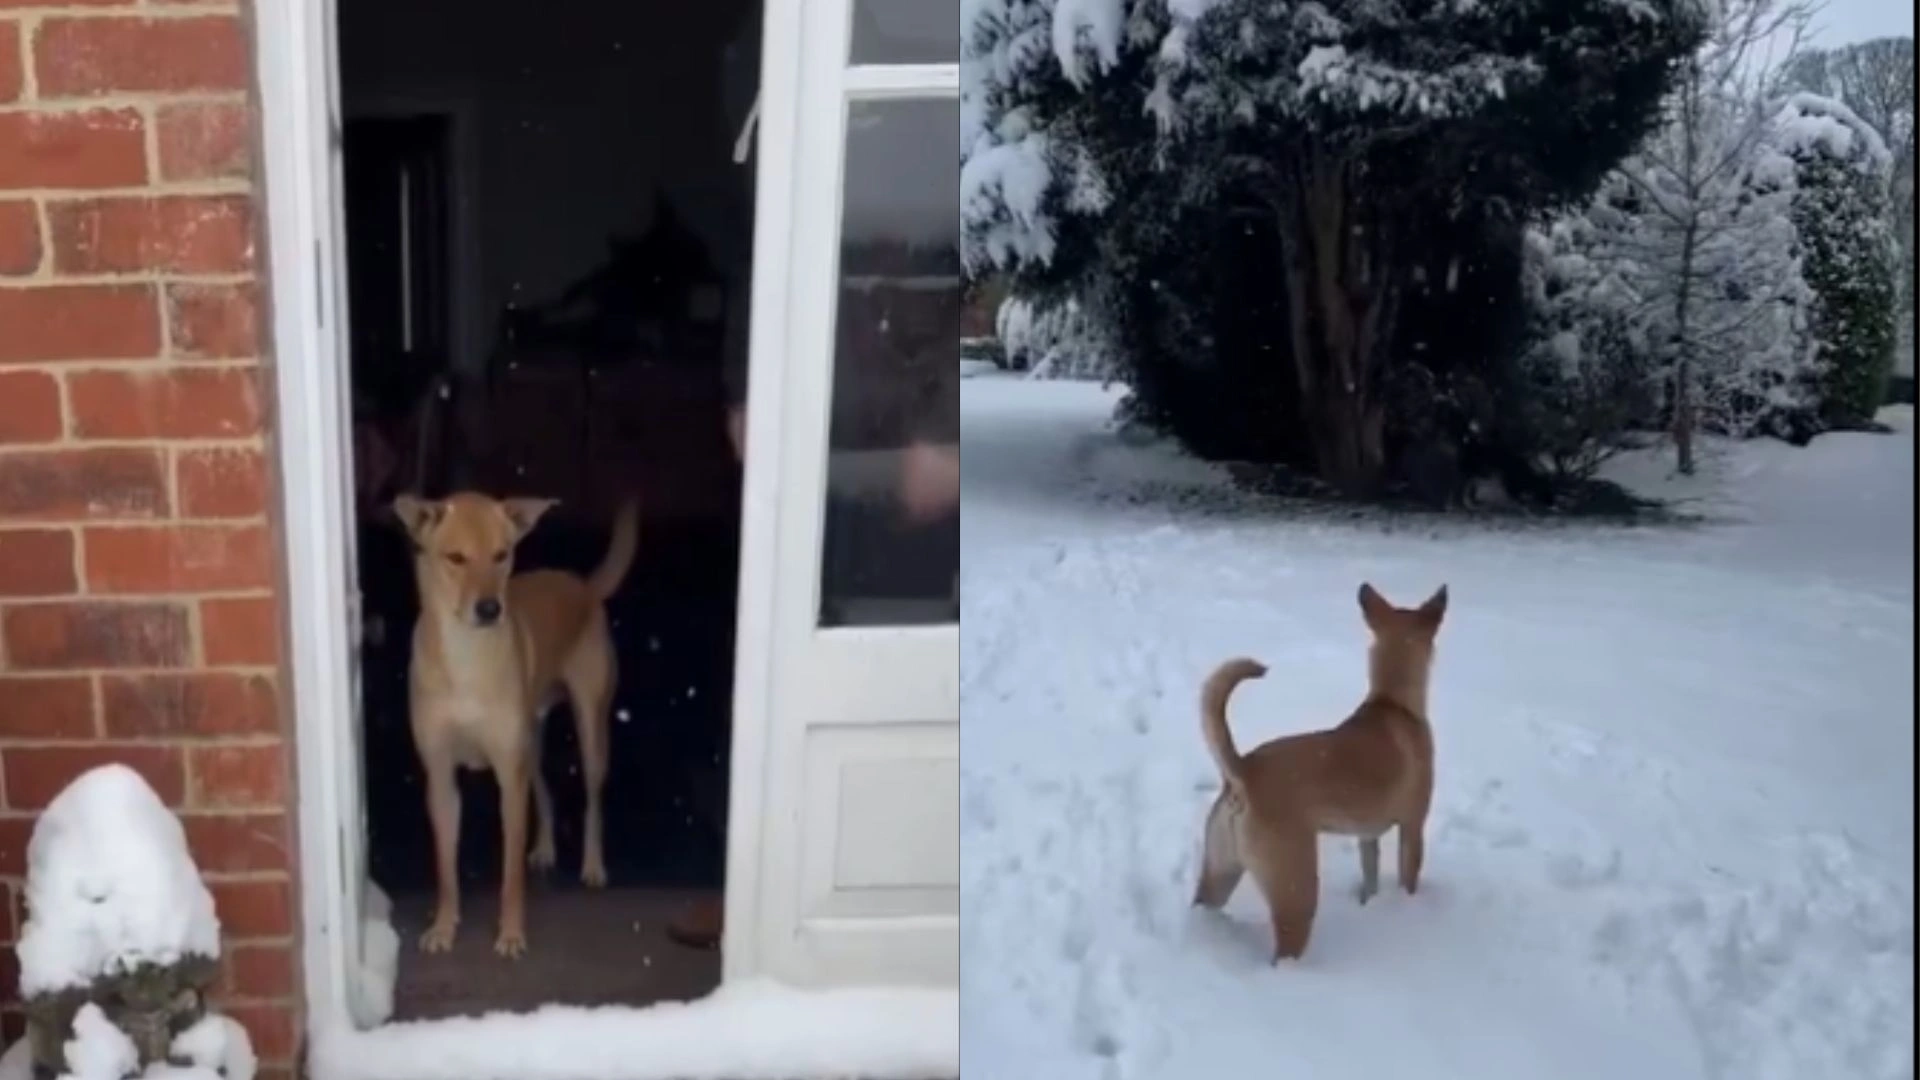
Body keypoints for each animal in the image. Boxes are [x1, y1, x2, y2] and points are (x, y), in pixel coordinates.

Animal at [393, 491, 641, 953]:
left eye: (501, 555)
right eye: (455, 558)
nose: (491, 608)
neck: (466, 657)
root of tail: (583, 586)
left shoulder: (509, 776)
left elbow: (510, 875)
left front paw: (510, 933)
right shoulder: (440, 775)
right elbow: (445, 868)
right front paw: (444, 926)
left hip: (590, 730)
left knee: (594, 801)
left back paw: (593, 864)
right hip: (531, 743)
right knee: (543, 789)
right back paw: (544, 847)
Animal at [1190, 584, 1443, 960]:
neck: (1391, 703)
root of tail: (1242, 772)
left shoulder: (1367, 836)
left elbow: (1370, 878)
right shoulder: (1412, 827)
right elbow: (1408, 878)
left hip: (1219, 871)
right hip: (1296, 888)